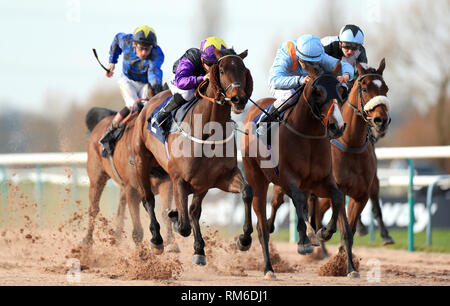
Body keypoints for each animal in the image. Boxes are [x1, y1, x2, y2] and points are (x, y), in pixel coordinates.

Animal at [82, 101, 178, 252]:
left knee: (120, 207)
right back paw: (87, 242)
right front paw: (142, 257)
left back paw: (116, 237)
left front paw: (171, 244)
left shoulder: (165, 183)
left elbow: (165, 212)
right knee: (94, 209)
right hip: (96, 178)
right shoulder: (132, 190)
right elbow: (137, 232)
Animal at [132, 47, 255, 262]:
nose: (239, 99)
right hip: (142, 162)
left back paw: (197, 247)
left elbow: (246, 192)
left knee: (193, 210)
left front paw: (244, 239)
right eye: (222, 70)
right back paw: (157, 239)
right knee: (148, 200)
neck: (208, 132)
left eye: (243, 69)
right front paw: (174, 219)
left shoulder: (218, 178)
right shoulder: (179, 179)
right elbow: (183, 226)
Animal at [241, 62, 360, 280]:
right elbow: (296, 199)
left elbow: (338, 198)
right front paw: (306, 240)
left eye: (341, 90)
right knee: (260, 223)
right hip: (256, 176)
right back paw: (267, 266)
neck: (308, 137)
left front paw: (325, 233)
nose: (337, 126)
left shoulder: (321, 181)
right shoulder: (287, 178)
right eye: (317, 92)